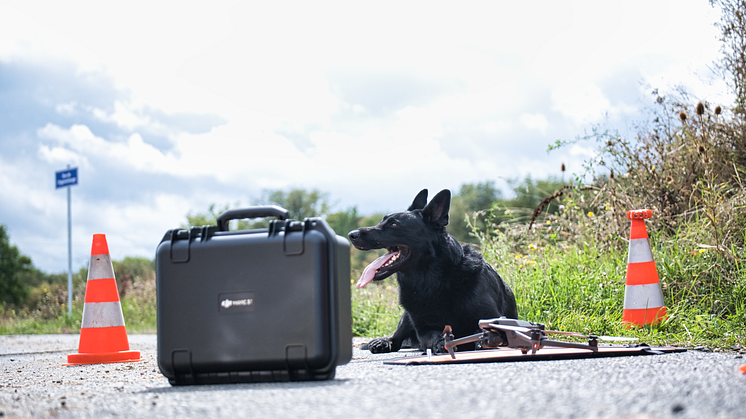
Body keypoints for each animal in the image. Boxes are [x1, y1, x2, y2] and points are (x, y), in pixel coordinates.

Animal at [348, 189, 512, 352]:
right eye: (382, 221)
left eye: (394, 224)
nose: (351, 235)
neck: (431, 281)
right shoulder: (424, 330)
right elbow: (434, 335)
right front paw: (442, 342)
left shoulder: (493, 318)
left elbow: (485, 330)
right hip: (407, 317)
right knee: (396, 337)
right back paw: (384, 342)